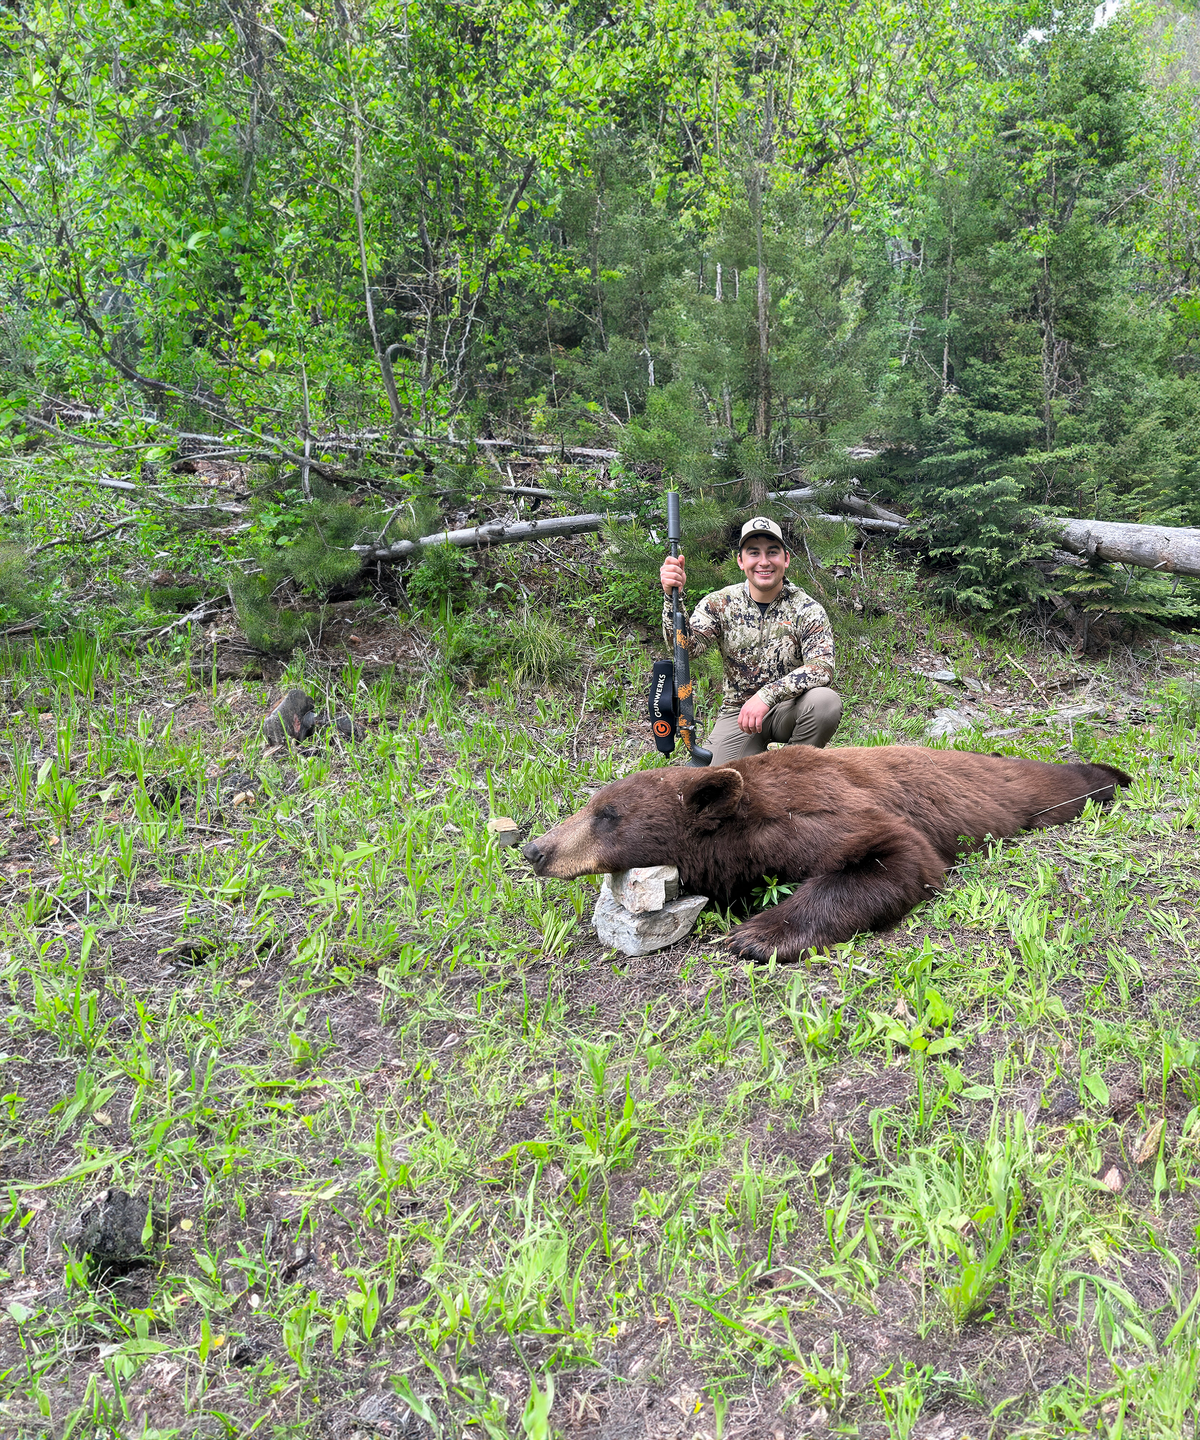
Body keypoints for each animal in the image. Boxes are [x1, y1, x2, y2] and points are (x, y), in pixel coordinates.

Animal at [522, 746, 1131, 960]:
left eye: (607, 815)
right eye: (591, 804)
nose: (535, 849)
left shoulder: (813, 813)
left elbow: (897, 853)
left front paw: (756, 935)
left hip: (1029, 794)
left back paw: (1112, 775)